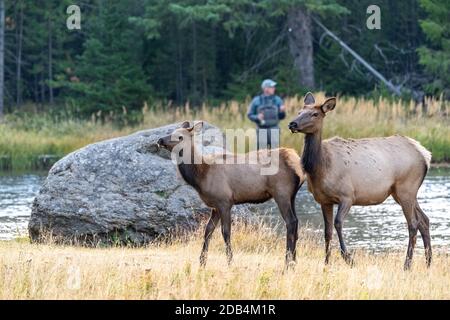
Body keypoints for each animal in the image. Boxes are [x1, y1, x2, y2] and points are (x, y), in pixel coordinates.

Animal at [156, 121, 304, 268]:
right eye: (171, 132)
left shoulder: (224, 201)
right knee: (296, 222)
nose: (160, 140)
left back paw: (288, 262)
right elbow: (208, 230)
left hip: (281, 192)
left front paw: (230, 261)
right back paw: (294, 260)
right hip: (291, 196)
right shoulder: (215, 206)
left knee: (290, 222)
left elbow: (225, 232)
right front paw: (202, 262)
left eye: (180, 137)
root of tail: (297, 163)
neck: (201, 176)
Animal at [288, 93, 432, 270]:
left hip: (406, 187)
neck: (320, 168)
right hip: (401, 192)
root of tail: (425, 155)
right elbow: (327, 232)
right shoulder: (324, 200)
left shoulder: (347, 196)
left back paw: (407, 265)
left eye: (315, 114)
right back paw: (428, 263)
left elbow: (338, 223)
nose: (293, 123)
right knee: (424, 220)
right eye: (299, 111)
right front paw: (326, 264)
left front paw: (348, 258)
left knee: (413, 223)